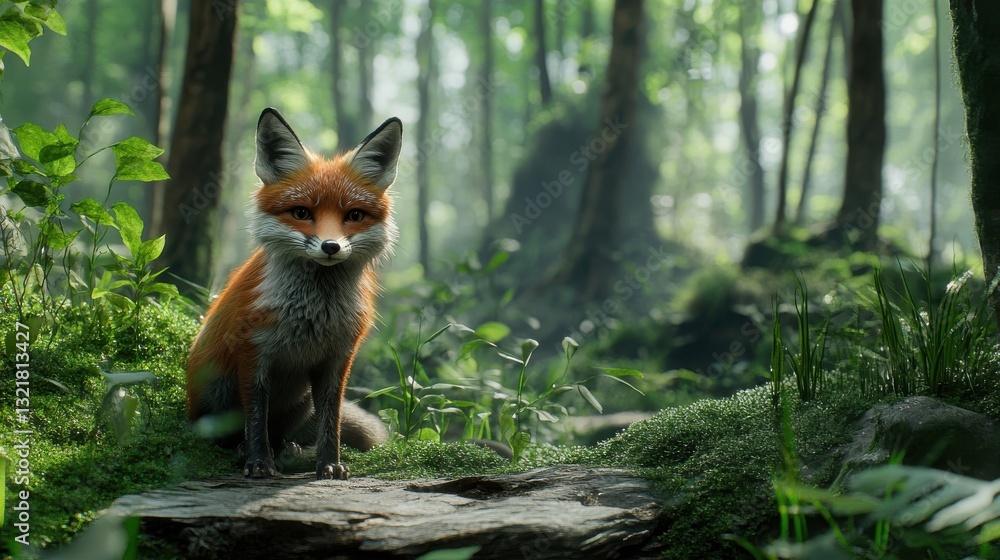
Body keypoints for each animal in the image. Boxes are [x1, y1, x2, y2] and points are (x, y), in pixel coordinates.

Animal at [186, 108, 401, 480]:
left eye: (354, 215)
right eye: (301, 212)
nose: (330, 246)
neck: (313, 314)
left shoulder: (338, 357)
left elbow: (332, 421)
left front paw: (329, 463)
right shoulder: (252, 350)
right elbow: (255, 418)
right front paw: (258, 462)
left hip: (302, 400)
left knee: (284, 433)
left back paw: (290, 451)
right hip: (217, 389)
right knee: (227, 433)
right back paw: (246, 451)